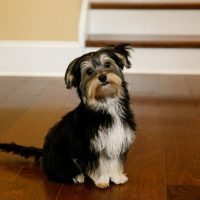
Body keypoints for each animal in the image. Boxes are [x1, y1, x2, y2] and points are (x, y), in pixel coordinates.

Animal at [0, 44, 136, 189]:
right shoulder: (90, 147)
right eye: (89, 71)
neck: (106, 104)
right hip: (61, 157)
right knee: (57, 171)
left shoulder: (117, 139)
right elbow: (98, 165)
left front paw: (117, 177)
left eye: (107, 64)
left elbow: (115, 162)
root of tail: (44, 153)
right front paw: (102, 180)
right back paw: (77, 176)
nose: (103, 77)